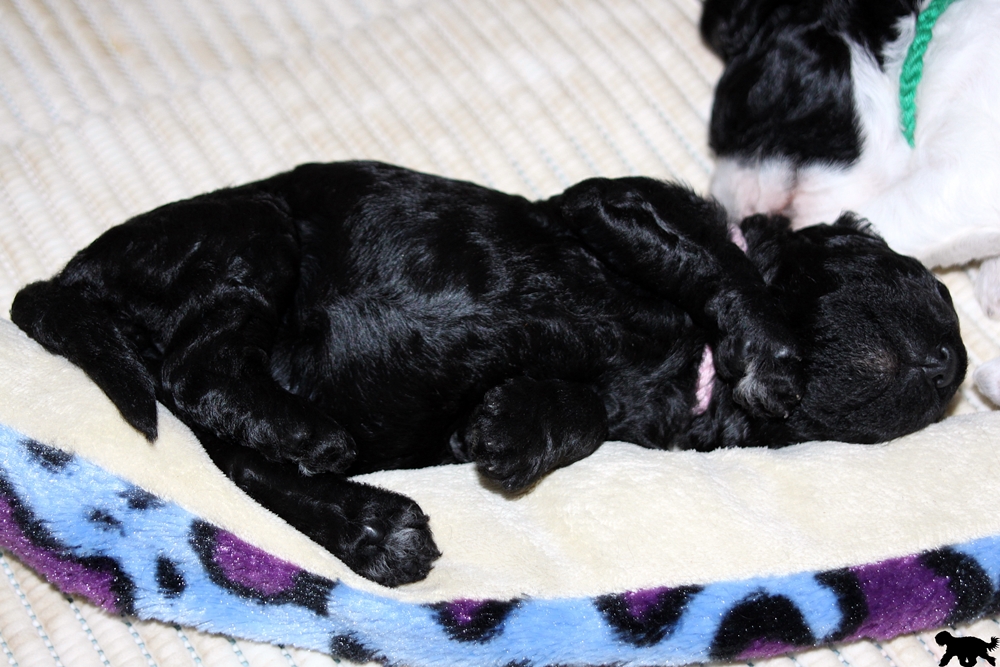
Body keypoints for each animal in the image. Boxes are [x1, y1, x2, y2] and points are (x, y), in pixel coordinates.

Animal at [9, 161, 966, 586]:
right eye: (913, 277)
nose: (952, 364)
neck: (690, 363)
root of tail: (70, 277)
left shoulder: (626, 405)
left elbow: (583, 413)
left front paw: (509, 428)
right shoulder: (610, 205)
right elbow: (715, 262)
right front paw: (769, 352)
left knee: (232, 444)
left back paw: (370, 523)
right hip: (253, 232)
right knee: (194, 368)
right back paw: (313, 437)